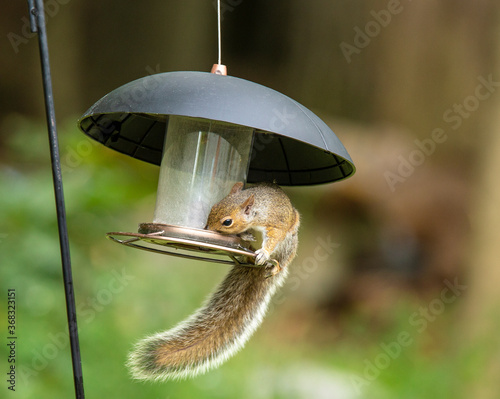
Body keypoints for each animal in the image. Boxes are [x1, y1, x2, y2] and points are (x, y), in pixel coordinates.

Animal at [127, 183, 298, 382]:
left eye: (227, 222)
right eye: (212, 208)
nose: (207, 228)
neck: (255, 214)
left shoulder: (274, 223)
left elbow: (273, 237)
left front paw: (263, 252)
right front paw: (246, 235)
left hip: (288, 246)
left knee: (281, 259)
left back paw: (273, 265)